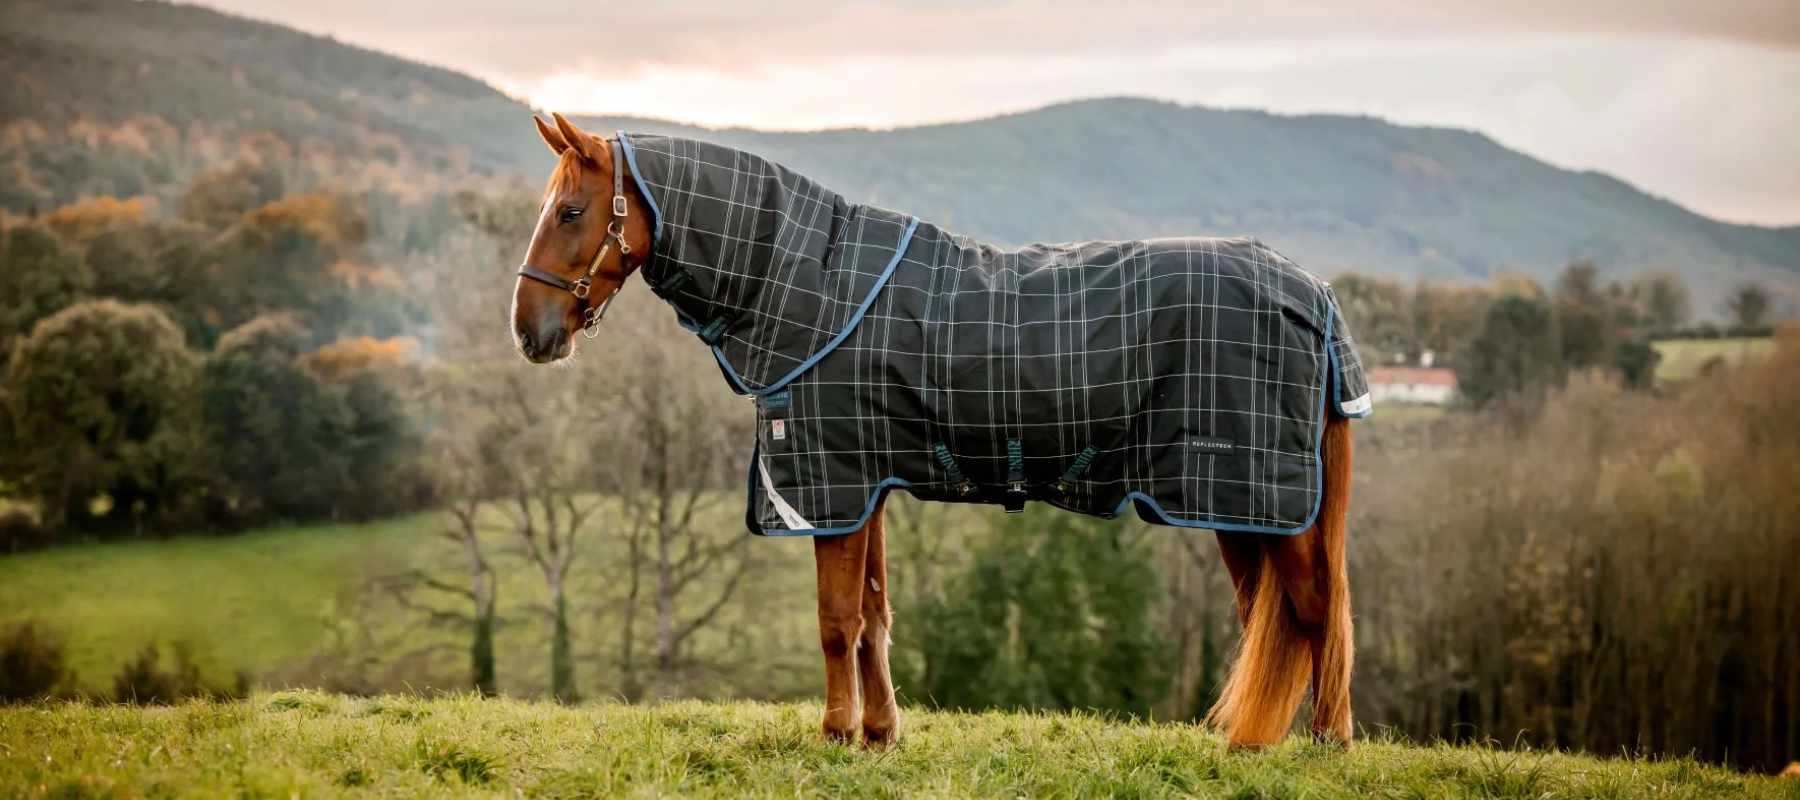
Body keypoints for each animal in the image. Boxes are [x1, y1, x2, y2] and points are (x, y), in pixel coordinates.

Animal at [507, 112, 1353, 749]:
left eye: (571, 211)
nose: (529, 332)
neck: (812, 287)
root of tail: (1311, 291)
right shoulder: (867, 482)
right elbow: (873, 616)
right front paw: (879, 733)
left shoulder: (833, 484)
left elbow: (836, 619)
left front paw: (835, 733)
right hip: (1237, 505)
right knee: (1269, 614)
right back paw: (1251, 741)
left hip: (1256, 494)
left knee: (1317, 606)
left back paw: (1327, 743)